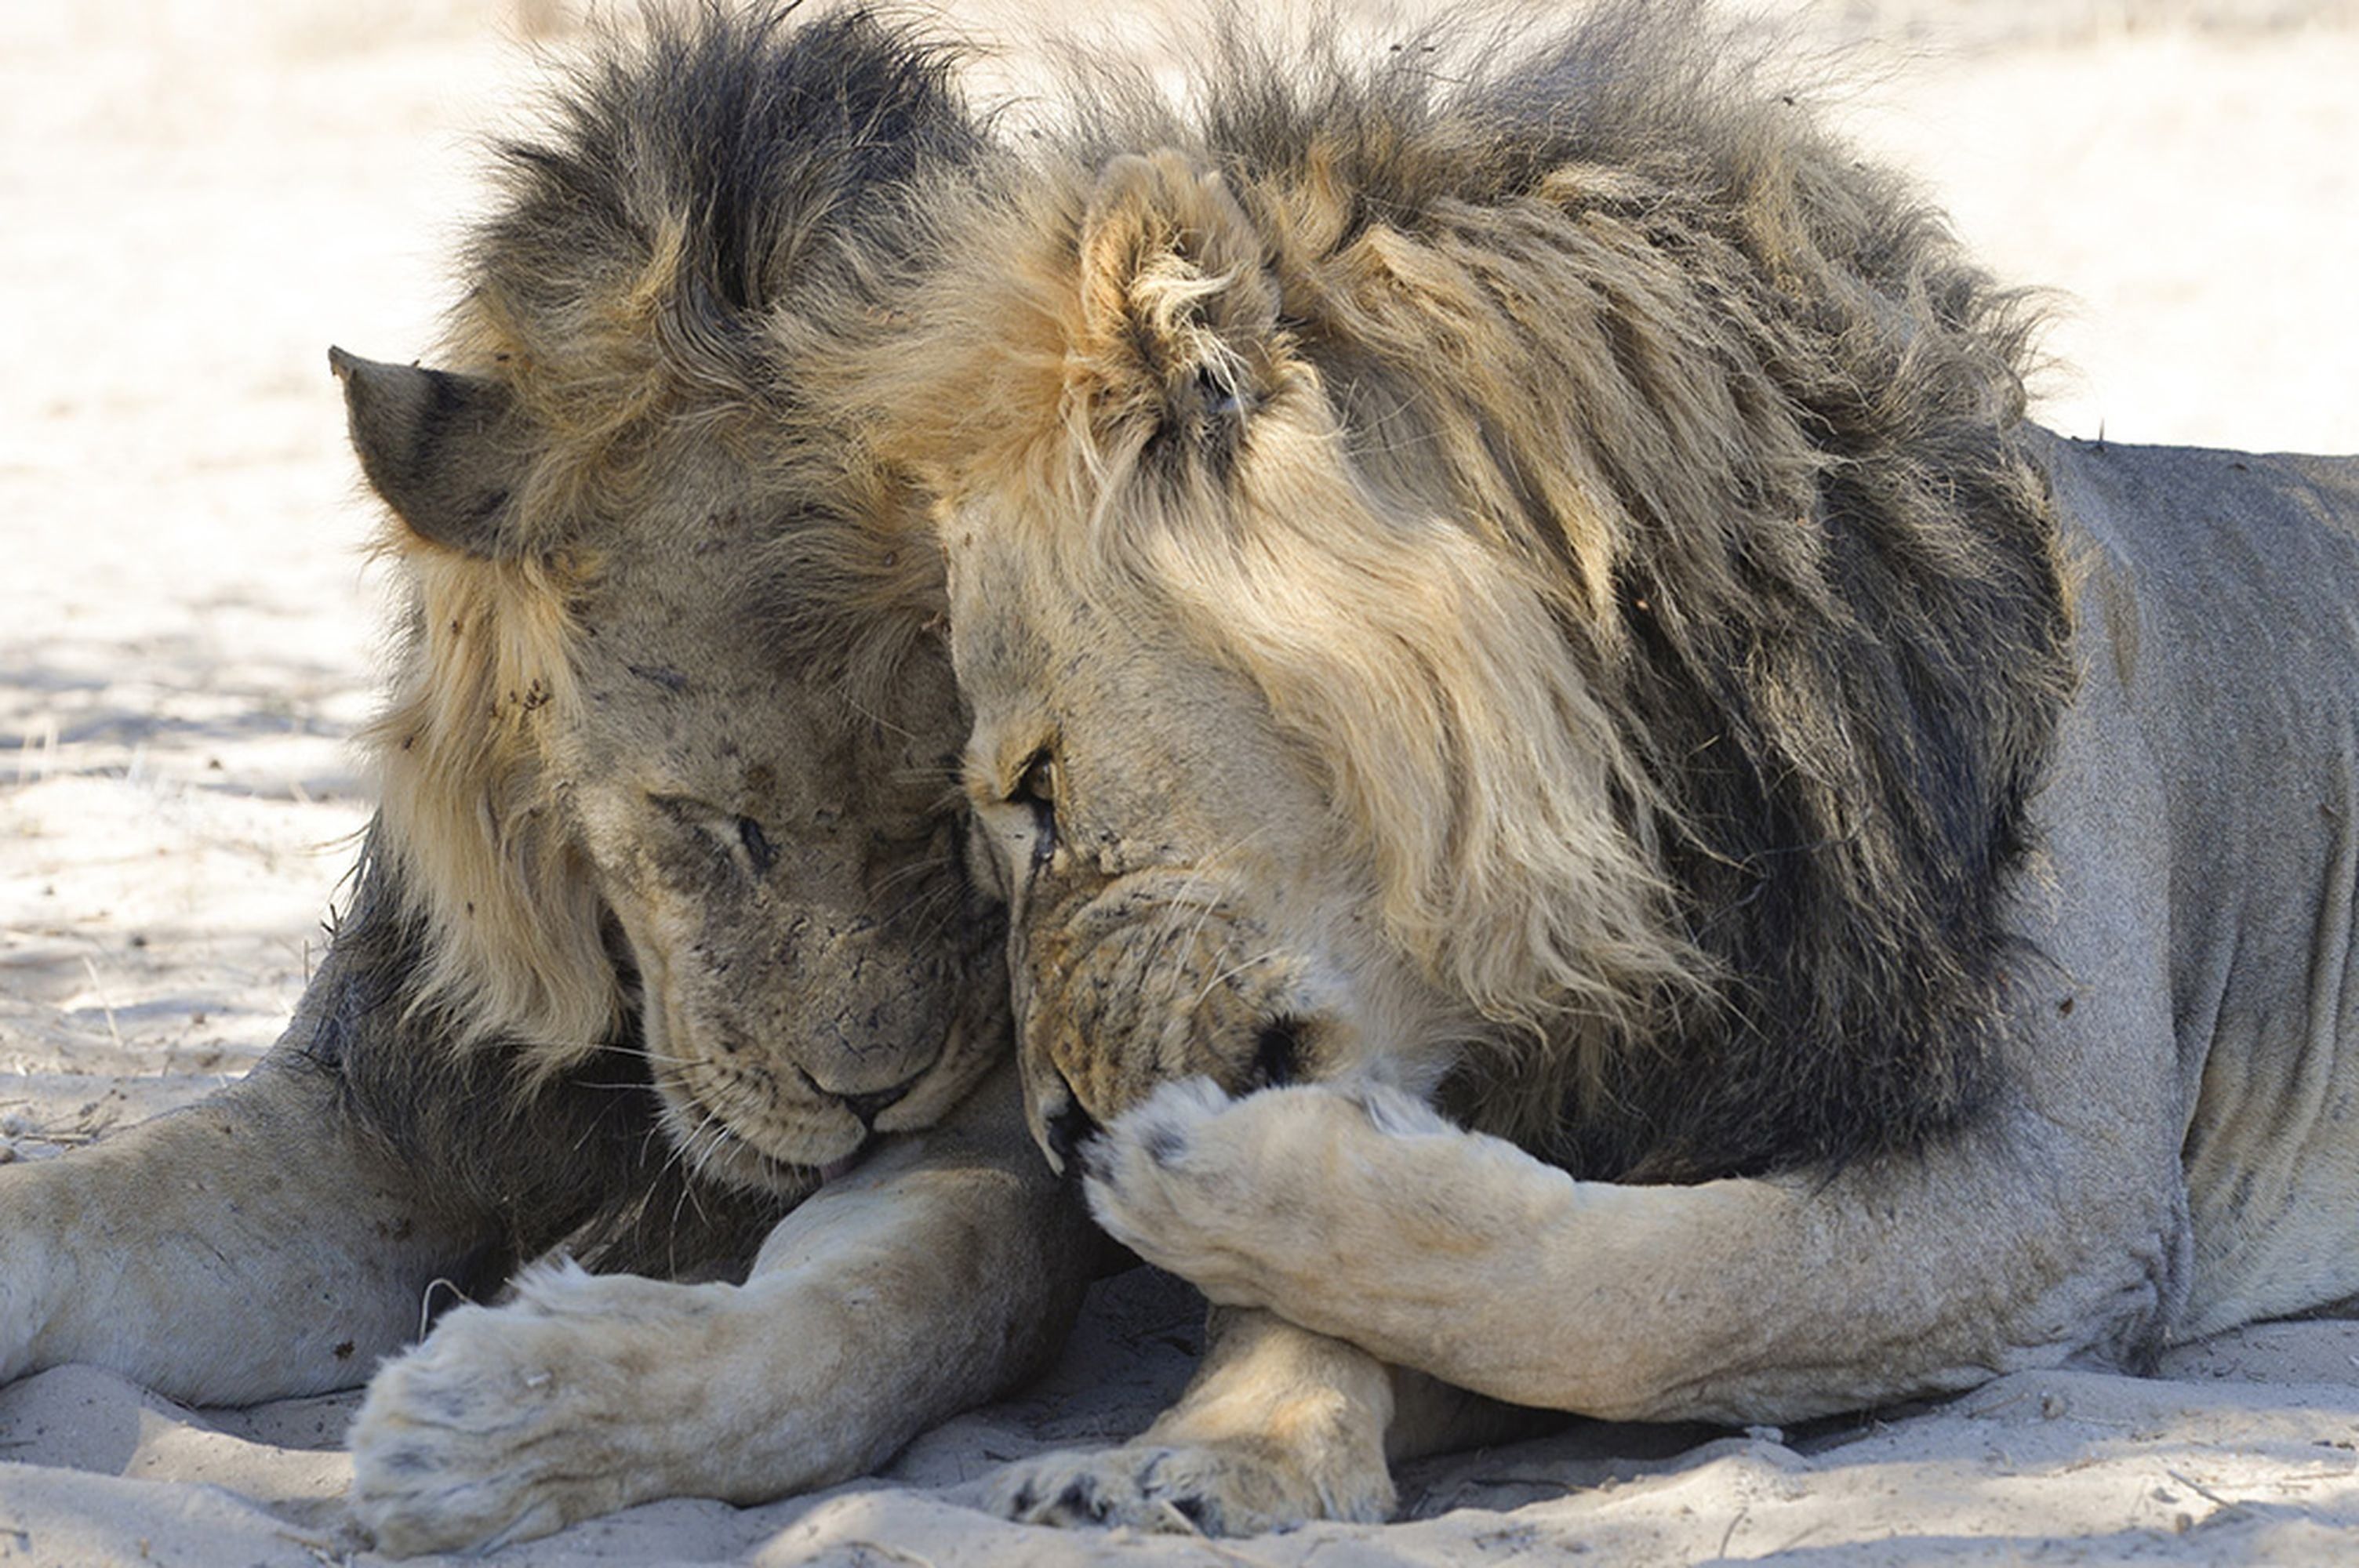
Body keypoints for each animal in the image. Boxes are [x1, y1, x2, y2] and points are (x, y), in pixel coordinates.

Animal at [0, 5, 1099, 1555]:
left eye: (962, 818)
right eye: (712, 824)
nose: (869, 1096)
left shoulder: (997, 1143)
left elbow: (894, 1305)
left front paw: (502, 1420)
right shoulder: (373, 1106)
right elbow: (69, 1202)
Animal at [834, 0, 2359, 1537]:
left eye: (1036, 789)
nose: (1052, 1132)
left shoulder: (2077, 1195)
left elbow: (1658, 1293)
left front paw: (1214, 1190)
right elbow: (1383, 1301)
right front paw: (1219, 1450)